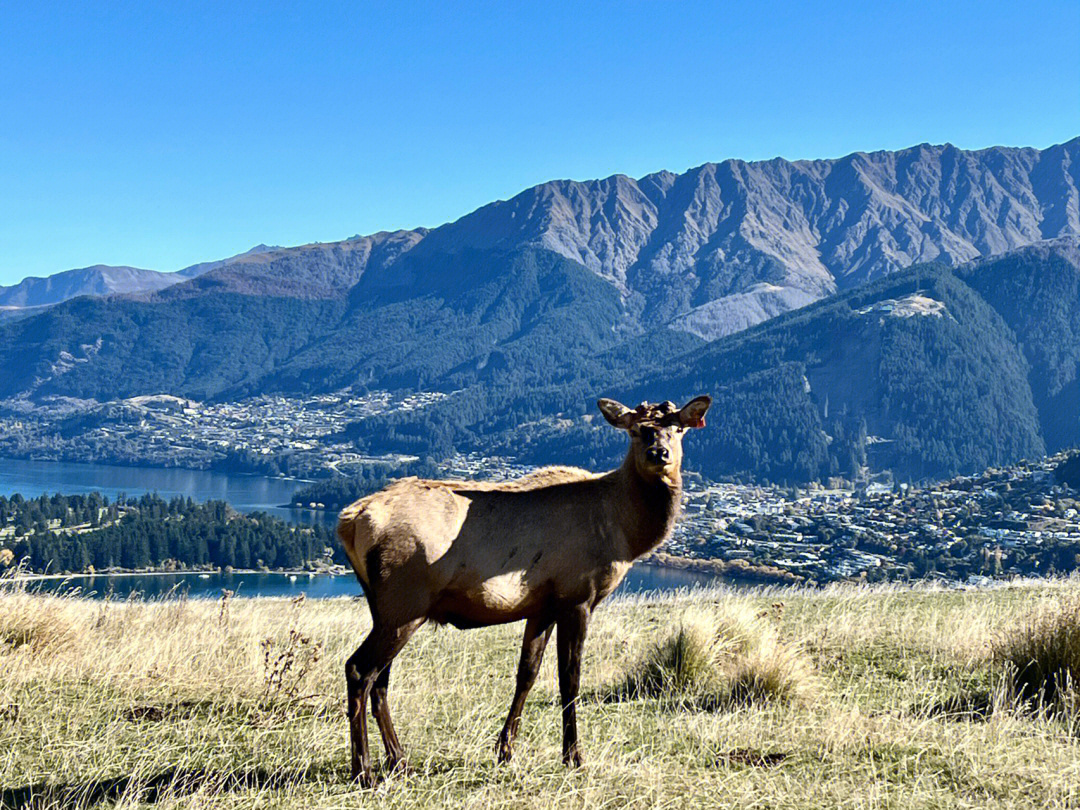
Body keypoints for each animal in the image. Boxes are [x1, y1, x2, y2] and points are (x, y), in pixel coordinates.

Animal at [332, 395, 712, 786]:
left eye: (678, 428)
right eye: (636, 430)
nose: (659, 452)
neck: (626, 534)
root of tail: (349, 520)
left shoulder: (541, 606)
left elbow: (526, 674)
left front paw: (505, 750)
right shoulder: (577, 595)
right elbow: (569, 679)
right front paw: (573, 756)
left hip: (388, 608)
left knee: (380, 679)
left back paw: (399, 761)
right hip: (404, 602)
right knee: (359, 670)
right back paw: (364, 770)